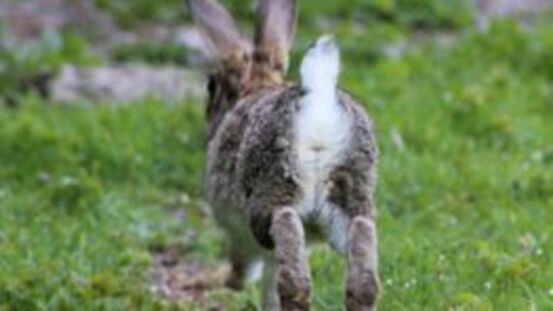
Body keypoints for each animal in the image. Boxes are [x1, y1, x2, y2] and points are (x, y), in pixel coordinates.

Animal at [187, 0, 380, 310]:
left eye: (211, 85)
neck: (255, 86)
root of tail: (318, 105)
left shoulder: (236, 231)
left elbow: (248, 267)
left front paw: (232, 281)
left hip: (273, 190)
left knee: (286, 236)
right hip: (349, 196)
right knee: (363, 251)